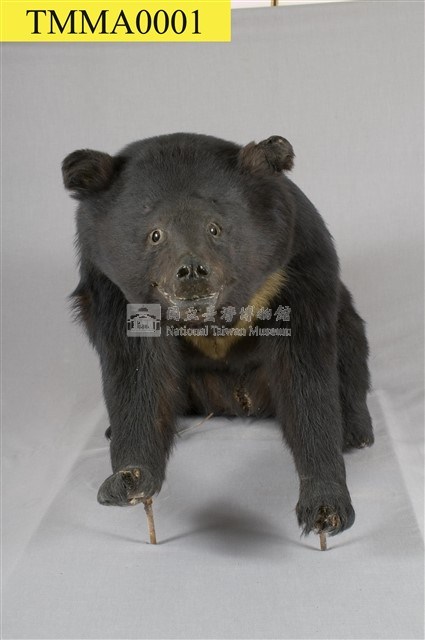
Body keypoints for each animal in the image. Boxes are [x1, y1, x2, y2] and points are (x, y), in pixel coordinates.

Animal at [62, 133, 374, 539]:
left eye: (215, 228)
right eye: (155, 235)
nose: (192, 270)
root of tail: (235, 401)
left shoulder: (294, 269)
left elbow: (305, 374)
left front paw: (325, 510)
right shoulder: (112, 286)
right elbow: (136, 376)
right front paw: (128, 481)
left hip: (343, 321)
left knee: (351, 350)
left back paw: (356, 433)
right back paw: (111, 431)